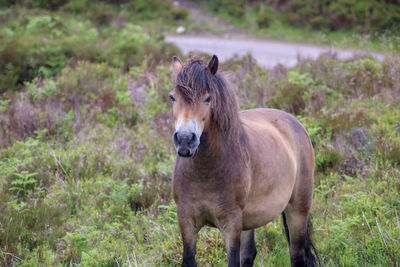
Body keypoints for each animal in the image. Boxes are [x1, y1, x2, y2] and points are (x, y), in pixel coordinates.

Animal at [169, 55, 318, 267]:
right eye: (172, 97)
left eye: (208, 99)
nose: (184, 139)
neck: (206, 172)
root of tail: (294, 123)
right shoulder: (186, 221)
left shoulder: (231, 224)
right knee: (249, 254)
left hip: (298, 210)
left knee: (297, 255)